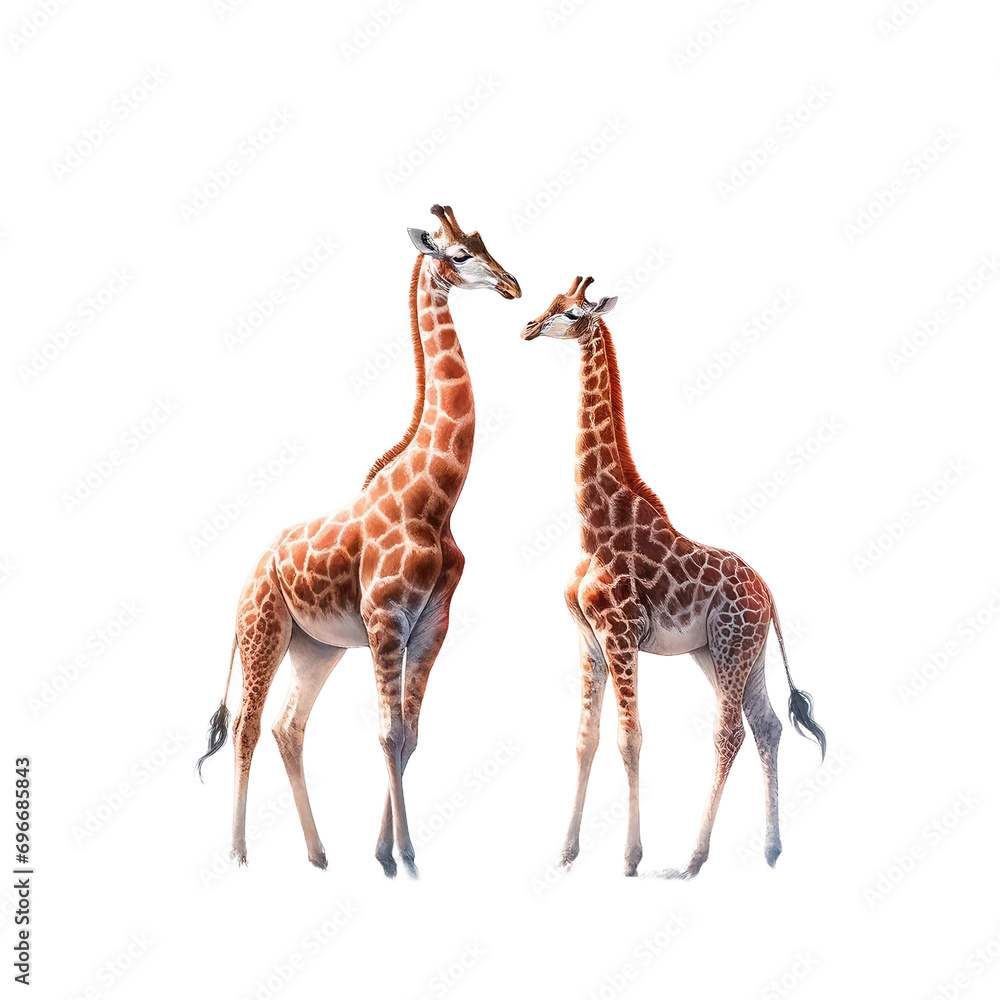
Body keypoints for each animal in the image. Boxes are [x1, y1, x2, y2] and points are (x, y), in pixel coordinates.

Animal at [197, 205, 521, 878]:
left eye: (485, 244)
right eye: (457, 253)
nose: (512, 286)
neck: (437, 500)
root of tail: (245, 579)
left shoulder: (431, 624)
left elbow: (410, 736)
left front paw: (386, 854)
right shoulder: (385, 618)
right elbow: (388, 733)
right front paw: (407, 855)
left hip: (315, 648)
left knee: (288, 727)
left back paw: (320, 855)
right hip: (264, 633)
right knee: (246, 726)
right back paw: (239, 854)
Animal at [520, 276, 826, 878]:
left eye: (571, 312)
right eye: (549, 304)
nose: (528, 326)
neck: (595, 528)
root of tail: (769, 593)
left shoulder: (619, 634)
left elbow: (630, 738)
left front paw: (630, 857)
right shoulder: (588, 639)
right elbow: (585, 739)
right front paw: (565, 854)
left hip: (731, 646)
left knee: (729, 731)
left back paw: (691, 859)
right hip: (726, 652)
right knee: (768, 725)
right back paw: (771, 850)